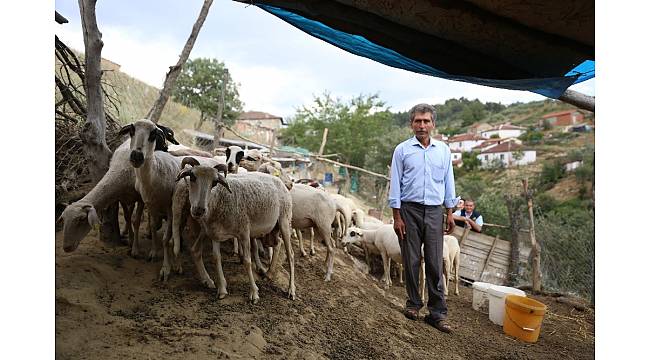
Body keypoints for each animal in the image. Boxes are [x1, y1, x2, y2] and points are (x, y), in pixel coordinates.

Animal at [172, 166, 294, 304]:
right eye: (192, 177)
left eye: (214, 183)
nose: (199, 210)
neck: (219, 198)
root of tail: (279, 181)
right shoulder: (214, 233)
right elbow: (216, 258)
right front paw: (222, 290)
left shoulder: (244, 231)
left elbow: (247, 261)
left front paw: (254, 293)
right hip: (272, 228)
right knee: (278, 243)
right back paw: (269, 273)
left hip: (284, 220)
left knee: (290, 254)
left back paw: (291, 290)